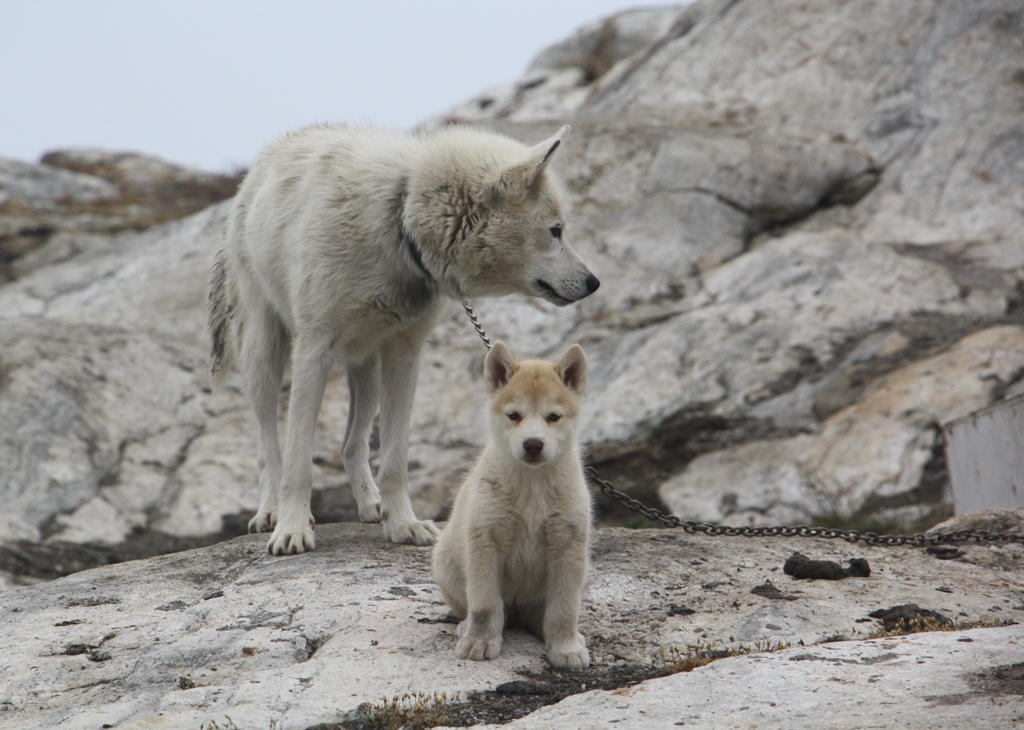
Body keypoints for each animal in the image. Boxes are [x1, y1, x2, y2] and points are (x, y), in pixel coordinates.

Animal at [207, 123, 598, 552]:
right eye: (556, 231)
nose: (594, 283)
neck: (400, 219)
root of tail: (259, 166)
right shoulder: (313, 352)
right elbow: (298, 460)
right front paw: (293, 529)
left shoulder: (405, 355)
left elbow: (395, 458)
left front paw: (402, 524)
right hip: (265, 356)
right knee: (268, 445)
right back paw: (271, 513)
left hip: (366, 370)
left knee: (351, 444)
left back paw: (371, 505)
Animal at [432, 339, 593, 667]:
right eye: (514, 415)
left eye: (553, 417)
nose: (533, 445)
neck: (532, 488)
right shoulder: (485, 542)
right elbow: (484, 603)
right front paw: (479, 641)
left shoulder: (569, 545)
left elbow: (565, 608)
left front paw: (566, 647)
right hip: (445, 564)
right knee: (476, 607)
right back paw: (466, 627)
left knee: (541, 613)